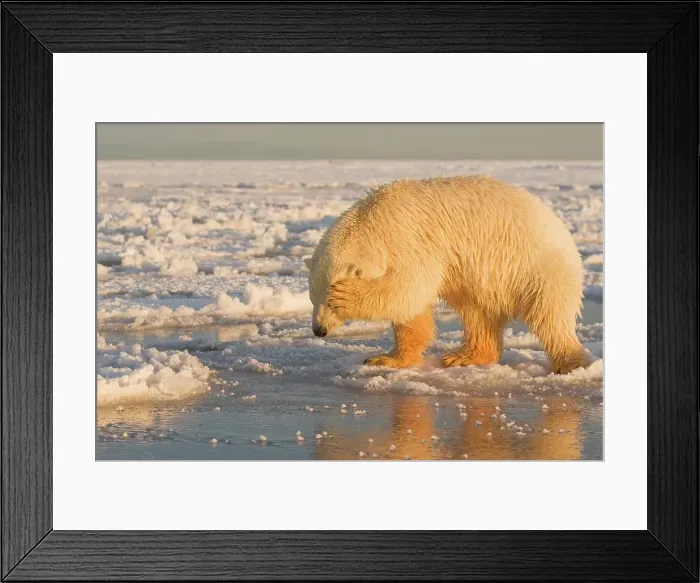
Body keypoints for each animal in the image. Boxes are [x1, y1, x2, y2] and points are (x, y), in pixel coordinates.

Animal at [305, 175, 590, 375]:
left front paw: (347, 294)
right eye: (312, 298)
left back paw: (570, 363)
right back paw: (464, 356)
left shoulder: (408, 240)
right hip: (481, 279)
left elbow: (409, 288)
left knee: (549, 316)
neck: (373, 221)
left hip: (534, 267)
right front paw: (386, 358)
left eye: (330, 302)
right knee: (477, 313)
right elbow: (412, 308)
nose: (319, 330)